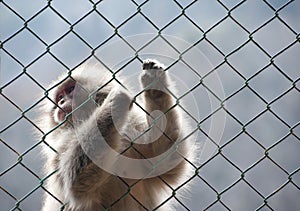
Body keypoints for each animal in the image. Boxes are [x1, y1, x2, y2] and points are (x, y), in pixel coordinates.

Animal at [38, 59, 196, 211]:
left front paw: (155, 85)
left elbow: (165, 162)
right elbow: (75, 182)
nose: (61, 102)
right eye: (59, 97)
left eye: (70, 89)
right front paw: (114, 103)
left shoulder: (133, 125)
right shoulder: (61, 143)